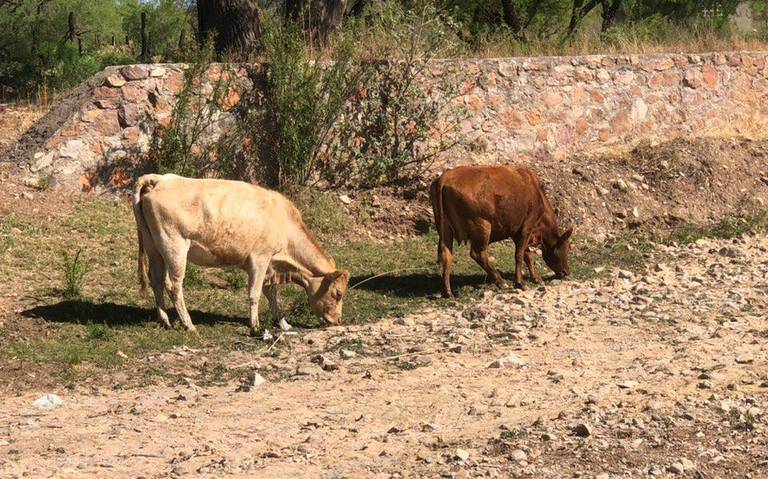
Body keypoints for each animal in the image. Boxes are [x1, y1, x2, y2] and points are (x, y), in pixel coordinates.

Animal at [428, 167, 572, 298]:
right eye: (563, 249)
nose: (566, 272)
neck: (537, 193)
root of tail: (444, 178)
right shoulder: (527, 227)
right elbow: (520, 254)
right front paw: (519, 283)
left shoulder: (516, 231)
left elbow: (526, 255)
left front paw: (535, 278)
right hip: (483, 227)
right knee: (478, 254)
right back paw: (501, 282)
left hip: (445, 230)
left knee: (446, 255)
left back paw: (448, 291)